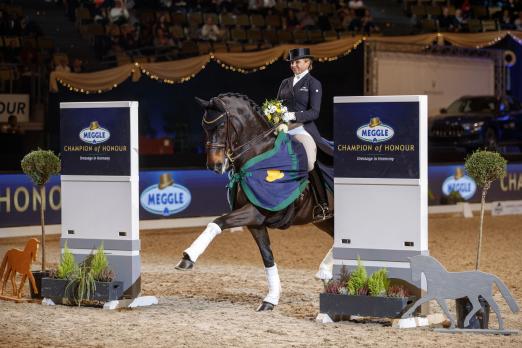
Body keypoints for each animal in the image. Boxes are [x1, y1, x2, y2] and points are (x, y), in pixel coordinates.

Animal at [175, 92, 334, 310]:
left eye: (221, 126)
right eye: (204, 126)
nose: (214, 165)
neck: (258, 155)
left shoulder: (256, 211)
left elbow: (217, 221)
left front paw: (188, 257)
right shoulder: (255, 222)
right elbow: (267, 256)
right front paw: (271, 299)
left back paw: (325, 271)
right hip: (326, 220)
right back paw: (326, 272)